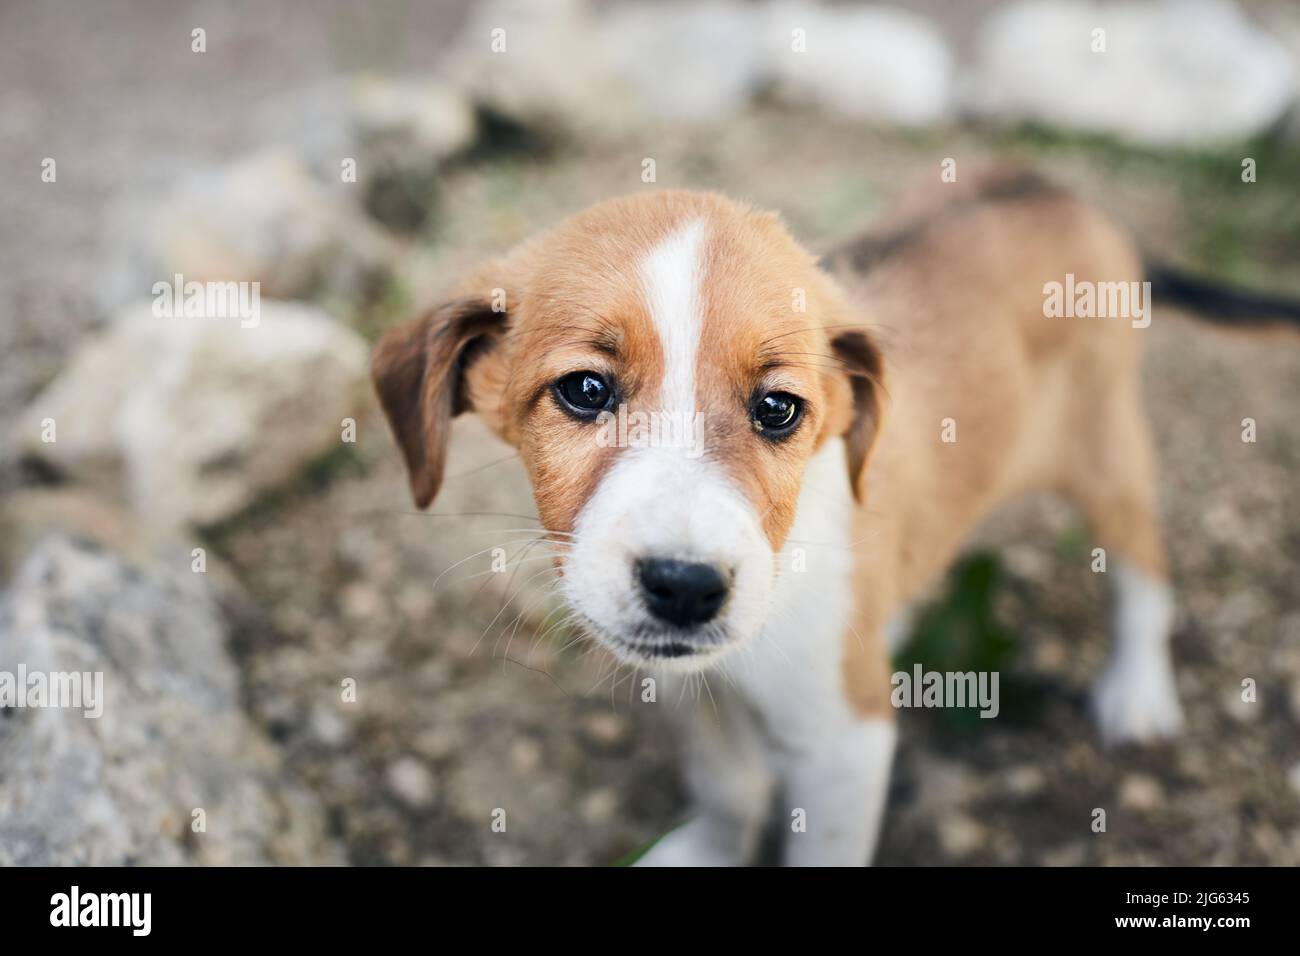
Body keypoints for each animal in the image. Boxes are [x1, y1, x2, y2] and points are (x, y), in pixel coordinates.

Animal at [371, 170, 1294, 868]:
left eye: (779, 409)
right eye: (585, 390)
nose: (685, 588)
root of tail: (1062, 191)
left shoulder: (847, 743)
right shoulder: (694, 691)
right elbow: (727, 789)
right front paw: (708, 852)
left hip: (1106, 453)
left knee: (1143, 567)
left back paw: (1138, 691)